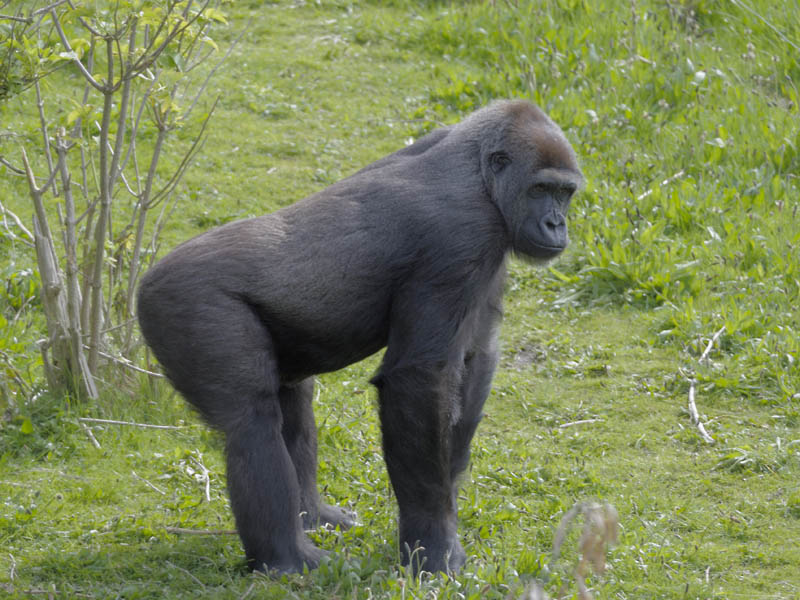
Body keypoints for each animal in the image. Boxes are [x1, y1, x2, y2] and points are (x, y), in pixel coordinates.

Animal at [137, 99, 584, 575]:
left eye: (565, 193)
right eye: (540, 189)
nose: (556, 224)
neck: (479, 173)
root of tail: (143, 285)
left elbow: (476, 360)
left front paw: (448, 490)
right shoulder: (463, 236)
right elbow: (419, 378)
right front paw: (433, 542)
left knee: (292, 397)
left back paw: (312, 516)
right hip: (184, 301)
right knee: (251, 422)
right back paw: (287, 556)